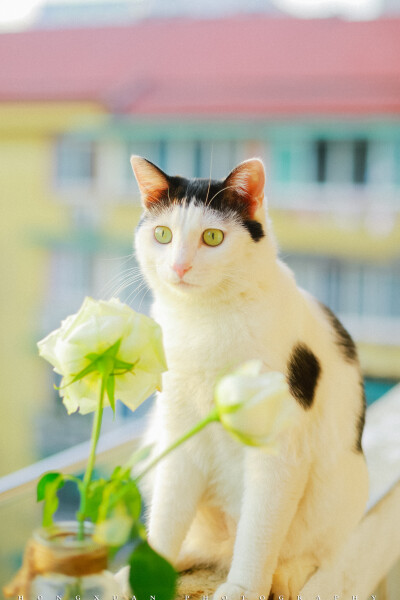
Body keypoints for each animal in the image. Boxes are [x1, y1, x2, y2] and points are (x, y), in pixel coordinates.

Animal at [116, 156, 368, 600]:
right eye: (162, 235)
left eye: (213, 237)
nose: (179, 266)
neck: (204, 319)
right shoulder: (180, 435)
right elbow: (166, 518)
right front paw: (144, 573)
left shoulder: (280, 450)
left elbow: (260, 531)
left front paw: (243, 587)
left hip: (340, 489)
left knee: (313, 551)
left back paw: (286, 573)